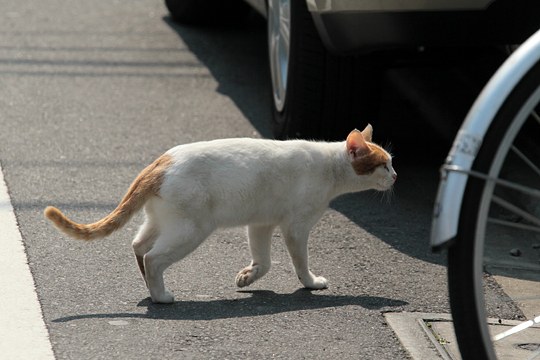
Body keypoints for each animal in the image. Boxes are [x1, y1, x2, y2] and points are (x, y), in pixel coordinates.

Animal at [43, 125, 396, 302]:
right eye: (383, 164)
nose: (396, 176)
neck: (329, 166)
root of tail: (159, 163)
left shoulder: (261, 222)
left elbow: (264, 260)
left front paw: (248, 276)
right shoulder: (295, 227)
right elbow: (300, 262)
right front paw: (310, 282)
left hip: (163, 223)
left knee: (138, 246)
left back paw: (149, 287)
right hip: (191, 230)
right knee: (154, 258)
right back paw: (160, 296)